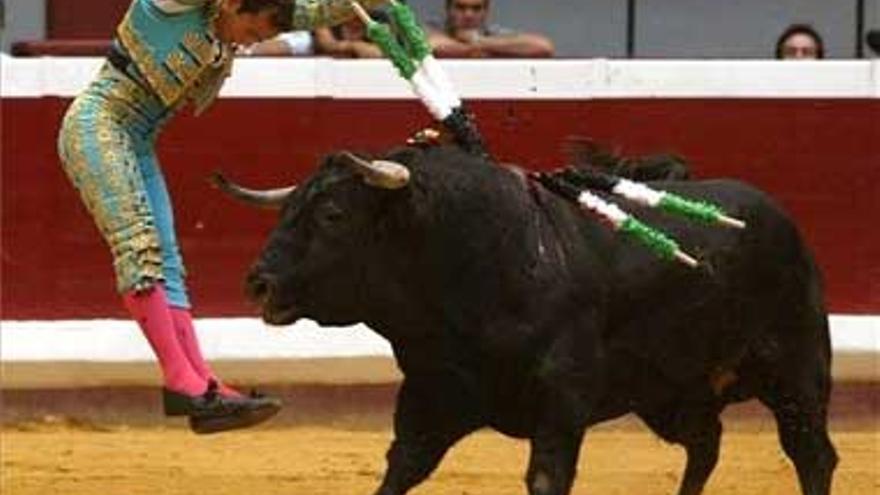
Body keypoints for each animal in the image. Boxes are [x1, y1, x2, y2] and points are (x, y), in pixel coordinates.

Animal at [217, 146, 836, 495]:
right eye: (288, 207)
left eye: (332, 214)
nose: (258, 283)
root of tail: (779, 218)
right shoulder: (429, 398)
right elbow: (399, 471)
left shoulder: (561, 405)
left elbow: (545, 478)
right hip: (671, 395)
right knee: (705, 446)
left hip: (797, 373)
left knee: (813, 455)